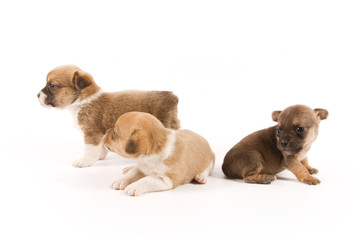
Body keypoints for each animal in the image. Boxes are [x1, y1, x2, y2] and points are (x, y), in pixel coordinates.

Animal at [36, 64, 180, 168]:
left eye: (51, 85)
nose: (37, 95)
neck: (83, 99)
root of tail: (172, 97)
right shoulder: (101, 134)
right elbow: (100, 147)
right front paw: (100, 156)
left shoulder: (91, 134)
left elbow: (90, 150)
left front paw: (84, 161)